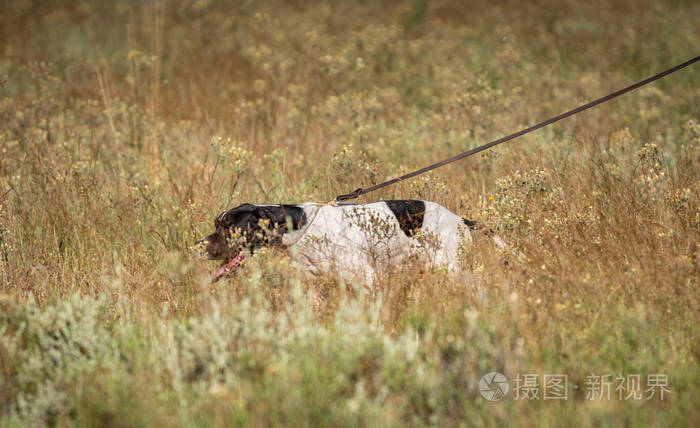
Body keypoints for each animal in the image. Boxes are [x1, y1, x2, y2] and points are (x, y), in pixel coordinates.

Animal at [197, 201, 508, 284]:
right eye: (216, 224)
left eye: (228, 227)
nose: (199, 244)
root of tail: (461, 220)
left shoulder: (368, 280)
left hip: (448, 266)